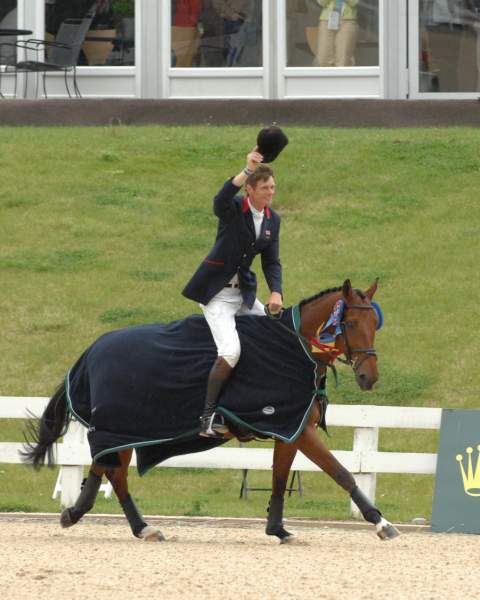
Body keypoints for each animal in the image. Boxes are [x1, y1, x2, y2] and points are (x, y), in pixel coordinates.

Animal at [21, 282, 402, 544]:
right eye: (350, 324)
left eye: (374, 324)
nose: (369, 377)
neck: (295, 348)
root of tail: (92, 350)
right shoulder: (295, 428)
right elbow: (343, 473)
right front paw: (381, 523)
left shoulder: (290, 429)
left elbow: (281, 478)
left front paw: (278, 529)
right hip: (121, 429)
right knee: (112, 470)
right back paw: (103, 518)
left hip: (126, 431)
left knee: (111, 471)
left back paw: (121, 522)